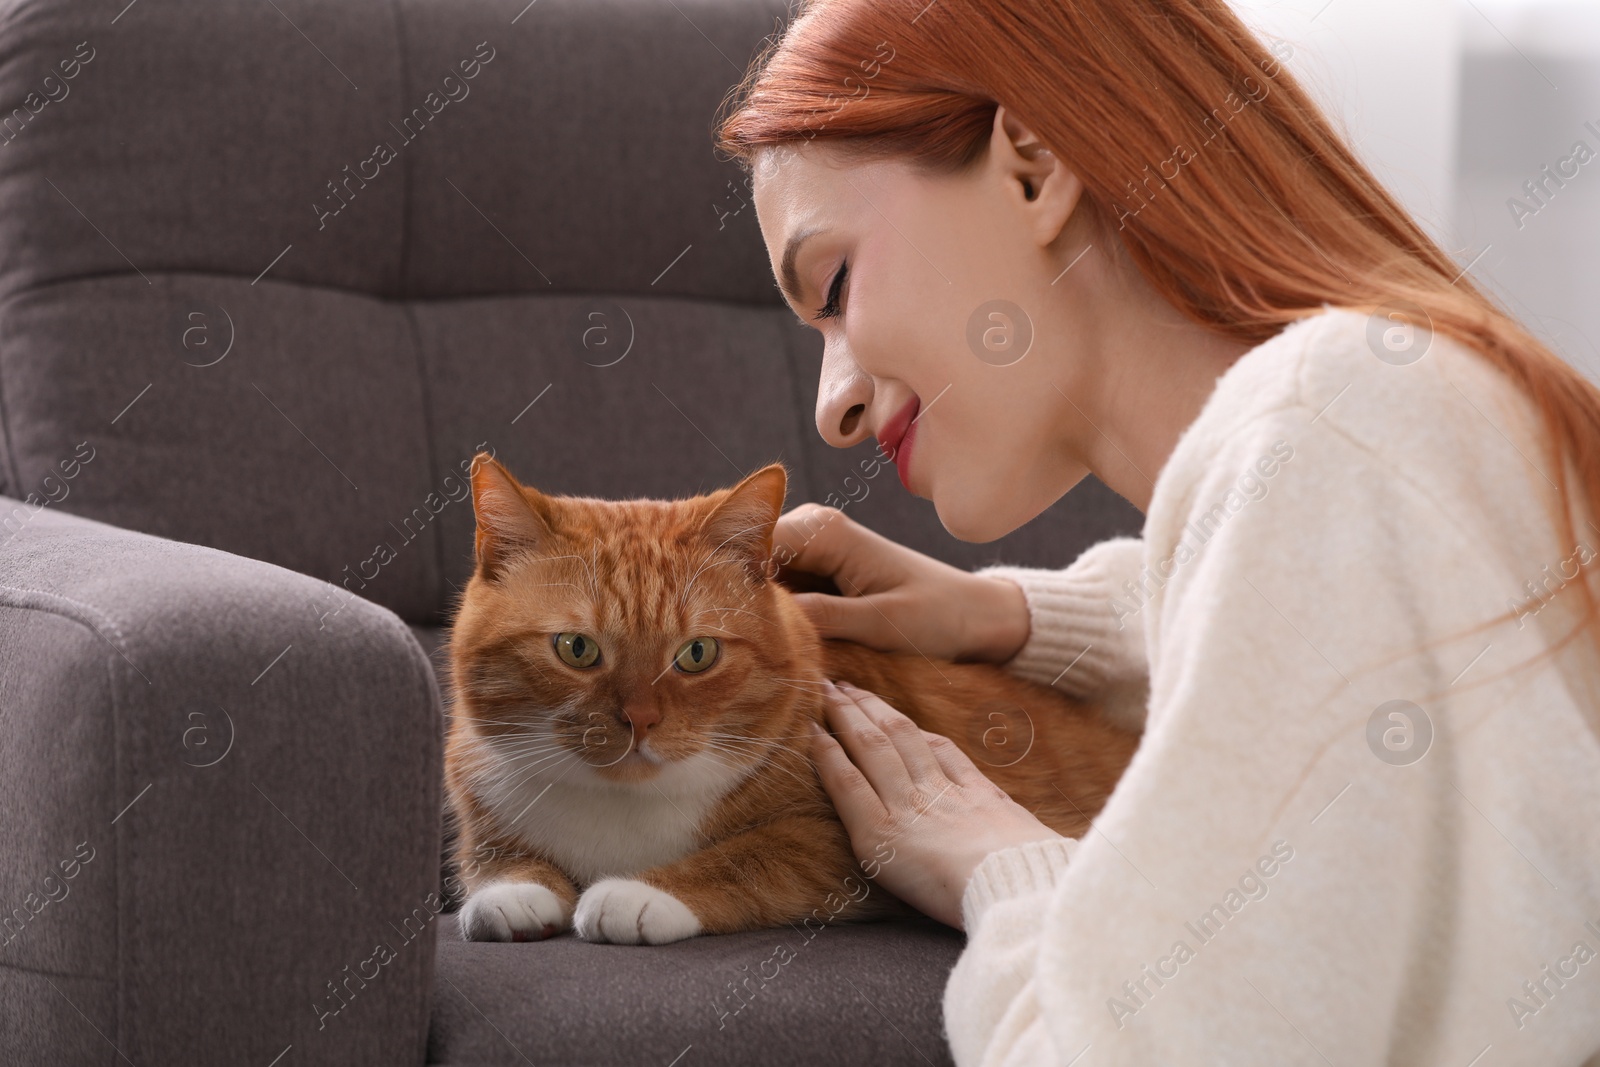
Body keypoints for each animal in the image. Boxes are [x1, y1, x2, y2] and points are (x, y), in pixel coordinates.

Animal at [438, 454, 1139, 947]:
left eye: (697, 654)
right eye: (576, 648)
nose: (639, 720)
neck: (620, 809)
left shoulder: (836, 845)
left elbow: (748, 858)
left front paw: (639, 894)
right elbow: (492, 858)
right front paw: (510, 892)